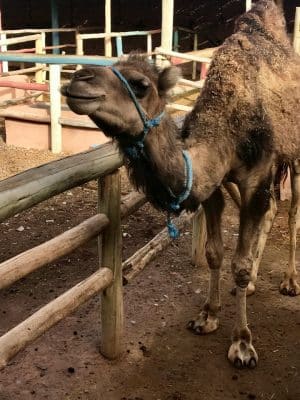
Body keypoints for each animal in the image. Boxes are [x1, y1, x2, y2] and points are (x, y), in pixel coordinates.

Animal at [61, 0, 300, 368]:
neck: (226, 123)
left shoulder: (254, 177)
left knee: (291, 213)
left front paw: (242, 343)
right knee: (273, 208)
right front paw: (207, 316)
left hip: (296, 157)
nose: (78, 79)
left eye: (140, 84)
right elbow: (215, 253)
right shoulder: (214, 184)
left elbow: (239, 264)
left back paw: (289, 282)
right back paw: (254, 285)